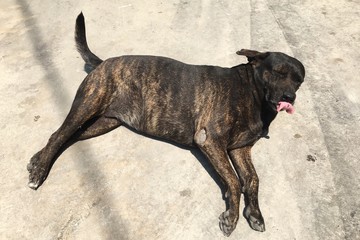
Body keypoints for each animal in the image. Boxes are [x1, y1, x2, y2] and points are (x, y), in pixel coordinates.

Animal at [26, 12, 306, 236]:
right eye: (278, 72)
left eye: (299, 80)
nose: (289, 97)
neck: (251, 92)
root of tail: (103, 62)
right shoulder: (210, 141)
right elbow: (235, 181)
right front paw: (232, 217)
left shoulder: (240, 149)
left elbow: (253, 179)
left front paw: (255, 214)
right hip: (88, 105)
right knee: (60, 134)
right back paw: (39, 172)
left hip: (104, 122)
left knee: (64, 136)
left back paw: (37, 161)